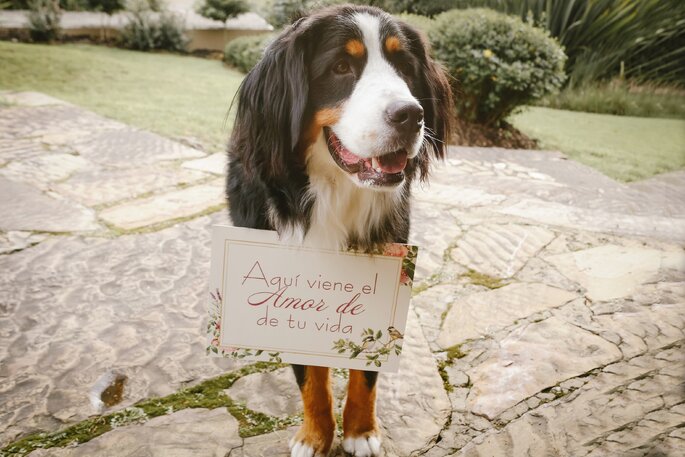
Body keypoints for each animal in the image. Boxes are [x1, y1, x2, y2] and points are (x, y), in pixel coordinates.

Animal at [226, 4, 454, 456]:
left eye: (404, 67)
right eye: (341, 67)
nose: (411, 115)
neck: (335, 193)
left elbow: (366, 372)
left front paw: (360, 431)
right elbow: (311, 378)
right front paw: (315, 436)